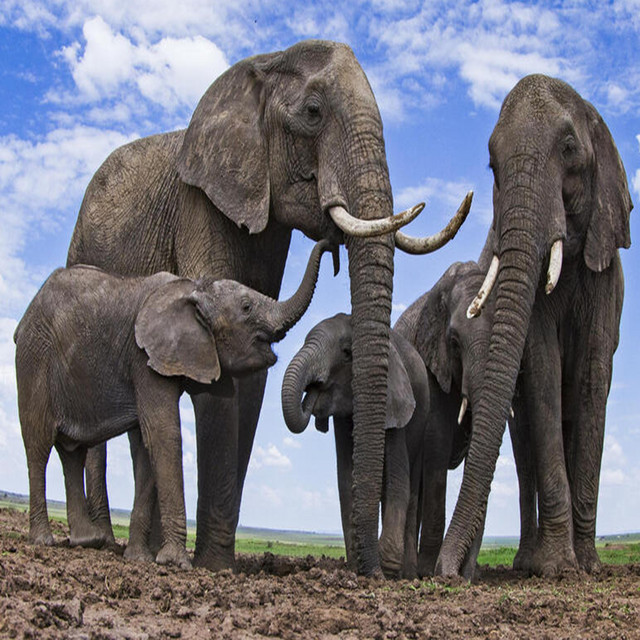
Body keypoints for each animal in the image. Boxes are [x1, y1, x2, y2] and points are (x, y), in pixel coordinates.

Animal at [14, 240, 330, 568]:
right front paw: (176, 562)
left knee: (73, 452)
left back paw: (86, 542)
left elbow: (146, 445)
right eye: (246, 307)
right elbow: (164, 434)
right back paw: (43, 540)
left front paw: (140, 558)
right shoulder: (143, 357)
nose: (329, 246)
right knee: (38, 444)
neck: (195, 290)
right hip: (34, 357)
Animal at [281, 313, 429, 579]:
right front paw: (356, 568)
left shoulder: (395, 400)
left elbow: (398, 481)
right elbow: (346, 479)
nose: (312, 391)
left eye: (347, 353)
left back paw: (408, 576)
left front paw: (386, 569)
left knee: (411, 488)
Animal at [436, 74, 632, 578]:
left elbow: (592, 378)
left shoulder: (606, 275)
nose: (446, 574)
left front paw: (588, 568)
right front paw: (559, 569)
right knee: (525, 446)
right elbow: (543, 369)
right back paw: (527, 562)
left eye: (569, 148)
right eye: (492, 164)